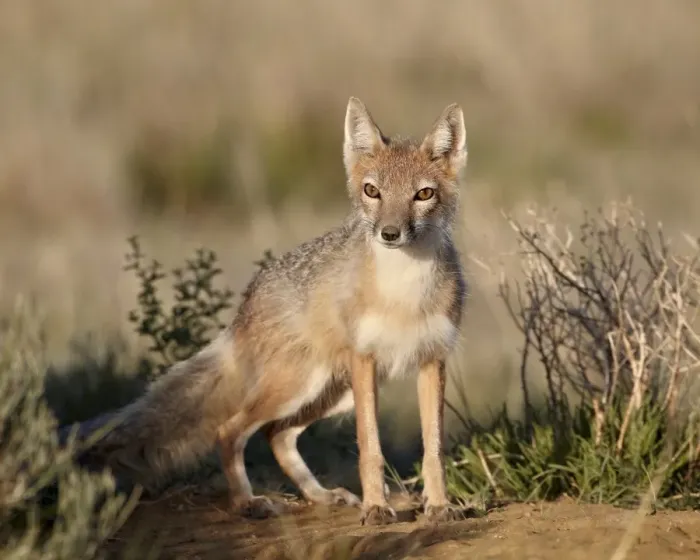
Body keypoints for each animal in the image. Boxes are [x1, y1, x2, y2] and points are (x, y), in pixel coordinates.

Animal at [87, 97, 469, 526]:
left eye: (423, 194)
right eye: (372, 191)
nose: (389, 233)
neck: (405, 294)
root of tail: (247, 301)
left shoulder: (432, 359)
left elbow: (433, 449)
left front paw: (438, 506)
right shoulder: (365, 360)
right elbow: (370, 446)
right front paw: (376, 507)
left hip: (331, 393)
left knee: (278, 435)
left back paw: (321, 496)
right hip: (300, 386)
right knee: (230, 430)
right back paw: (247, 502)